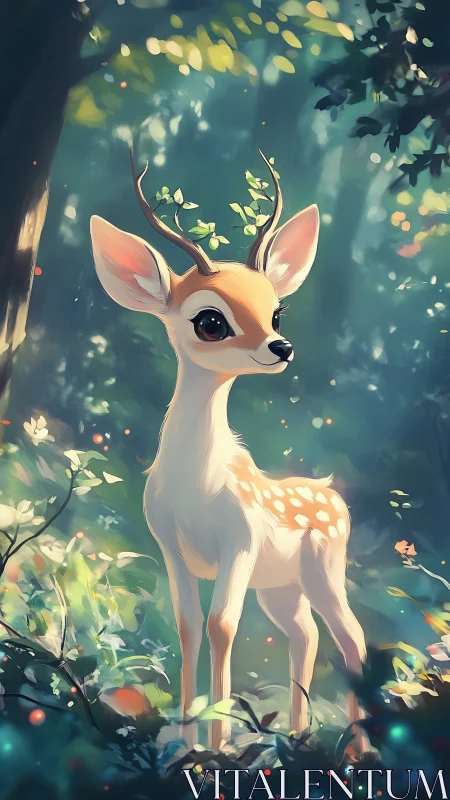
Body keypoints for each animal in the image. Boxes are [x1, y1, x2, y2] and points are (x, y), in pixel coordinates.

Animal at [90, 151, 366, 753]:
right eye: (210, 320)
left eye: (277, 312)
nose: (281, 347)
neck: (199, 484)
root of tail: (334, 496)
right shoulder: (170, 546)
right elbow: (189, 625)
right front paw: (189, 743)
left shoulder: (239, 540)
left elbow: (222, 626)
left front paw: (215, 749)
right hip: (282, 588)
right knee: (307, 635)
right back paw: (298, 736)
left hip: (323, 569)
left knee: (352, 638)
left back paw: (356, 750)